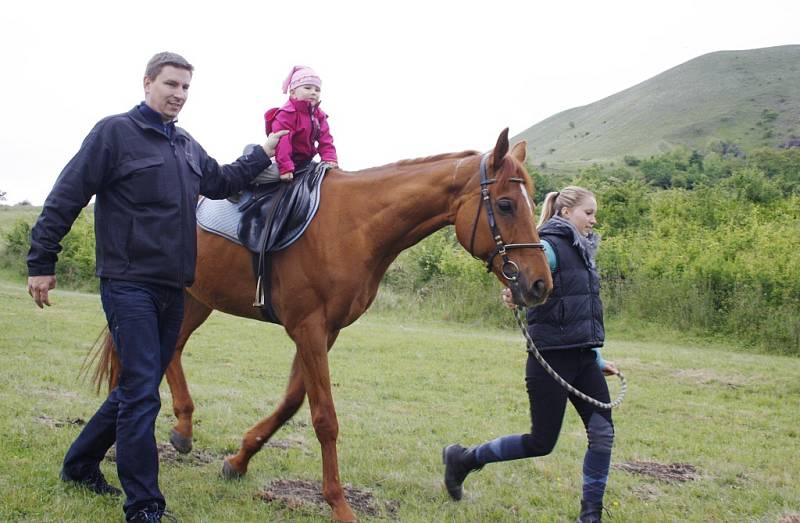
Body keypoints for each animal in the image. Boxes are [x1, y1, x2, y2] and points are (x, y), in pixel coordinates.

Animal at [94, 128, 552, 523]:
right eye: (507, 205)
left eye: (533, 204)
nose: (539, 284)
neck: (353, 227)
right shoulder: (308, 328)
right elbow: (325, 418)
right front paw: (338, 503)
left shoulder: (324, 331)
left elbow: (292, 402)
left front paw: (238, 460)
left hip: (193, 300)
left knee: (171, 350)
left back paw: (183, 429)